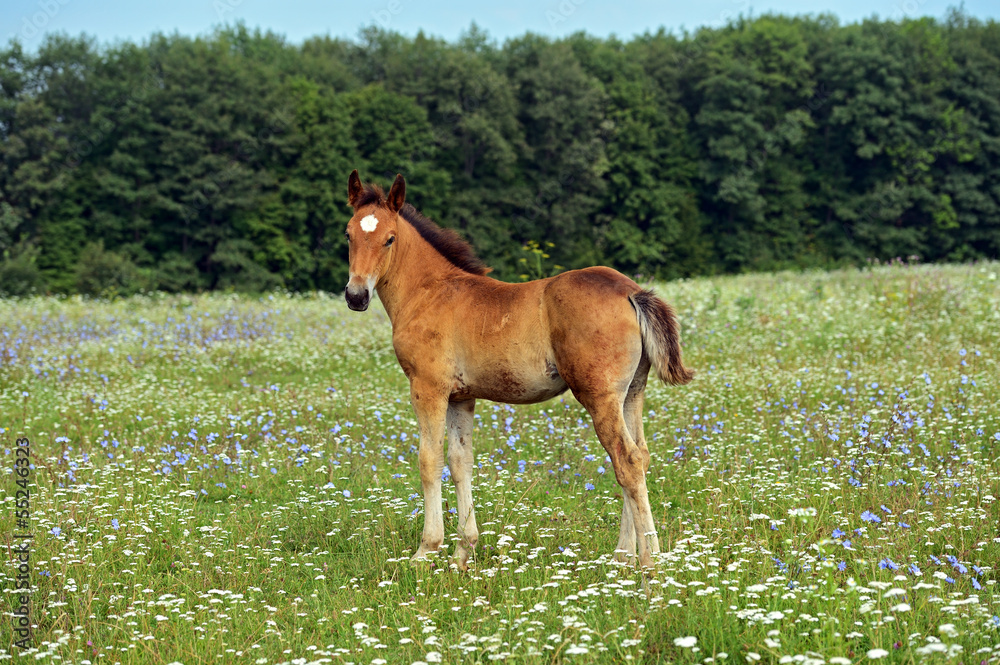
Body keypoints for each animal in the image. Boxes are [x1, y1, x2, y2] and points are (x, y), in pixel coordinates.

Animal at [343, 170, 693, 570]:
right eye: (348, 234)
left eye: (389, 238)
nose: (356, 296)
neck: (429, 292)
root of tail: (631, 292)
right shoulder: (461, 397)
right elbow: (461, 462)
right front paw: (463, 552)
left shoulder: (428, 388)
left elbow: (429, 460)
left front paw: (425, 551)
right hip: (632, 393)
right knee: (642, 455)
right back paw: (622, 556)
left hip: (600, 395)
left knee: (627, 460)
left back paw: (650, 561)